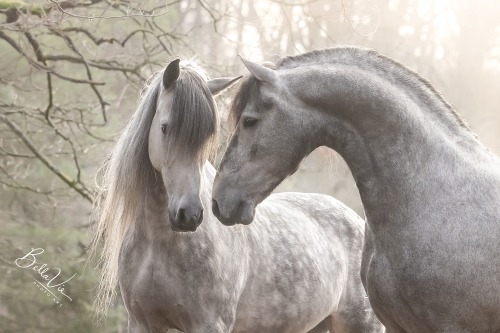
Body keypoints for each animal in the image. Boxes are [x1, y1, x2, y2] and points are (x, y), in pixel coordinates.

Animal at [93, 58, 382, 330]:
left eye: (207, 138)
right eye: (164, 128)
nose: (189, 215)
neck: (158, 242)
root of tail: (355, 219)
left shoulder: (209, 324)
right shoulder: (141, 323)